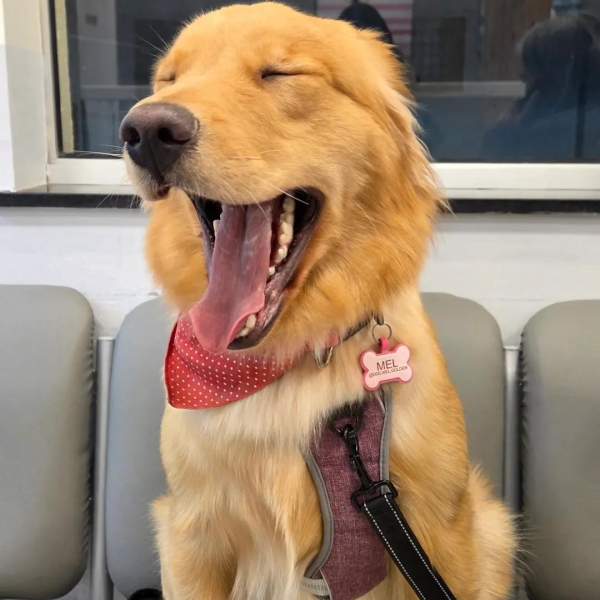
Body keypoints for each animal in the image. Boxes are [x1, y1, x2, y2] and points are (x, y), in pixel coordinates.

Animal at [121, 3, 516, 599]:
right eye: (170, 79)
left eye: (279, 73)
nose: (146, 131)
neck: (286, 359)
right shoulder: (191, 534)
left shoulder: (444, 528)